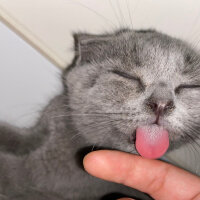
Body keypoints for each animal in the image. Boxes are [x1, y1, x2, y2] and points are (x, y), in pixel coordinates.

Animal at [0, 28, 200, 199]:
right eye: (126, 76)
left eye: (189, 86)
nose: (161, 104)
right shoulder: (37, 132)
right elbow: (16, 137)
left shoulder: (39, 177)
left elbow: (12, 173)